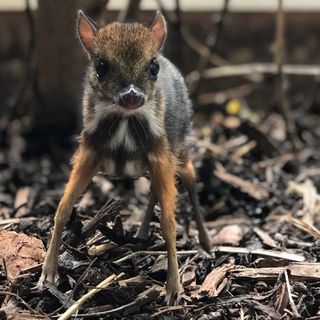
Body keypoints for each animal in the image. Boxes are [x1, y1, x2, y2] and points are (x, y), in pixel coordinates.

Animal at [38, 10, 212, 304]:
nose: (131, 96)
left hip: (180, 149)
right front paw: (48, 274)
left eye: (152, 67)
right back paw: (140, 235)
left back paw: (207, 244)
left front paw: (173, 289)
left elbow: (169, 224)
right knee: (155, 190)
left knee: (190, 180)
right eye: (101, 66)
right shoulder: (88, 152)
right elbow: (62, 209)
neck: (124, 125)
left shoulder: (161, 154)